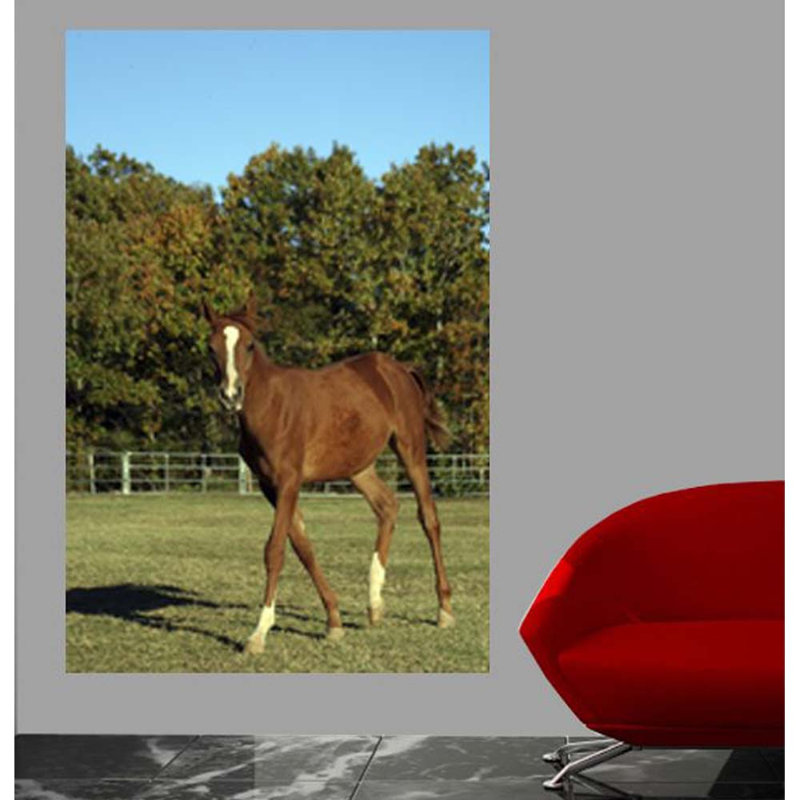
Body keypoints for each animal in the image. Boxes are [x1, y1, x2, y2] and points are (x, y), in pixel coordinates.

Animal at [203, 296, 455, 653]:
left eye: (249, 345)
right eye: (211, 348)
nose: (230, 396)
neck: (270, 406)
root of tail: (398, 369)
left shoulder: (288, 481)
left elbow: (275, 550)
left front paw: (259, 633)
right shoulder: (269, 486)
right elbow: (302, 546)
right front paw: (334, 621)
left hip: (411, 449)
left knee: (429, 519)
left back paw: (444, 609)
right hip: (358, 467)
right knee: (387, 506)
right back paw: (374, 605)